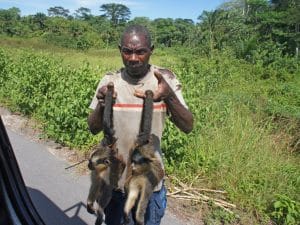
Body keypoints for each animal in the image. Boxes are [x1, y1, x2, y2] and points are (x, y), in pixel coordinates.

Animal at [86, 82, 125, 225]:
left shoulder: (111, 171)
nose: (88, 166)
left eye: (91, 162)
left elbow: (107, 191)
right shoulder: (107, 143)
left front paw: (100, 211)